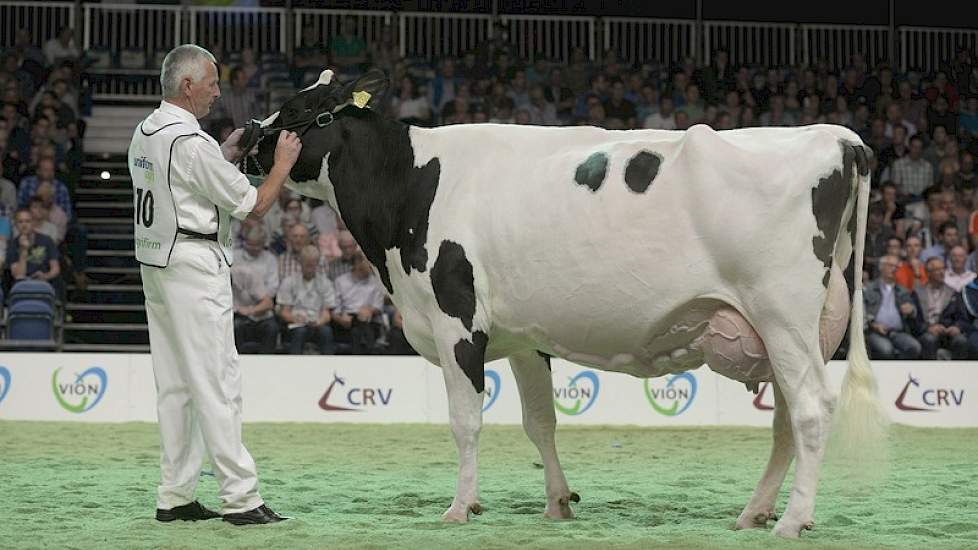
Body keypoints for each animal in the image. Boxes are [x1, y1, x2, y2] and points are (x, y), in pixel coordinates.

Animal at [252, 70, 884, 540]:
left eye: (300, 108)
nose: (249, 140)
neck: (410, 184)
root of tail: (838, 137)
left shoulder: (456, 320)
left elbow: (466, 420)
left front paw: (460, 507)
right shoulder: (522, 336)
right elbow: (540, 422)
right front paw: (558, 502)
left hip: (783, 315)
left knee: (811, 410)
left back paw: (793, 521)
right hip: (792, 331)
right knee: (786, 421)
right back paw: (754, 513)